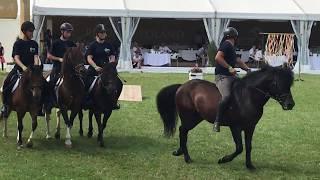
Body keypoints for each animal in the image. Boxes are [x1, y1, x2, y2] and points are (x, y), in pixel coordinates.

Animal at [157, 65, 296, 170]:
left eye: (289, 84)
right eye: (276, 83)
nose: (290, 104)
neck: (248, 97)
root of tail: (182, 86)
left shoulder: (250, 127)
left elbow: (249, 146)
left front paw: (249, 165)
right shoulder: (235, 127)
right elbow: (239, 148)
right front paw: (223, 159)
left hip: (196, 118)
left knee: (183, 131)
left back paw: (179, 152)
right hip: (189, 117)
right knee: (183, 131)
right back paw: (186, 158)